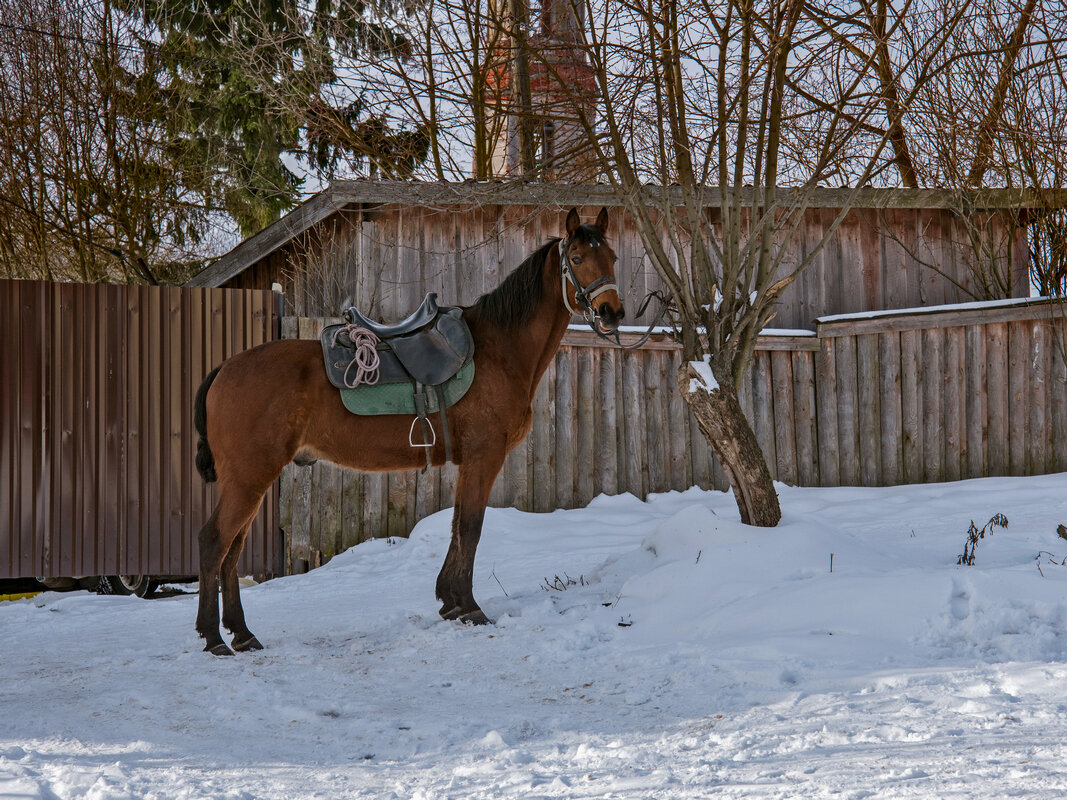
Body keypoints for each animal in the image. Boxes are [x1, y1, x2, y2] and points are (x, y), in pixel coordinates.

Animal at [193, 208, 623, 657]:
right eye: (576, 258)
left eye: (612, 256)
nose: (612, 311)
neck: (499, 349)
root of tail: (225, 369)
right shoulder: (484, 456)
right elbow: (470, 527)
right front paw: (469, 606)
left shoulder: (469, 462)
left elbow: (457, 524)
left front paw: (450, 601)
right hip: (250, 476)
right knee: (214, 542)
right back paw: (214, 636)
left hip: (252, 478)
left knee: (232, 549)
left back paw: (242, 633)